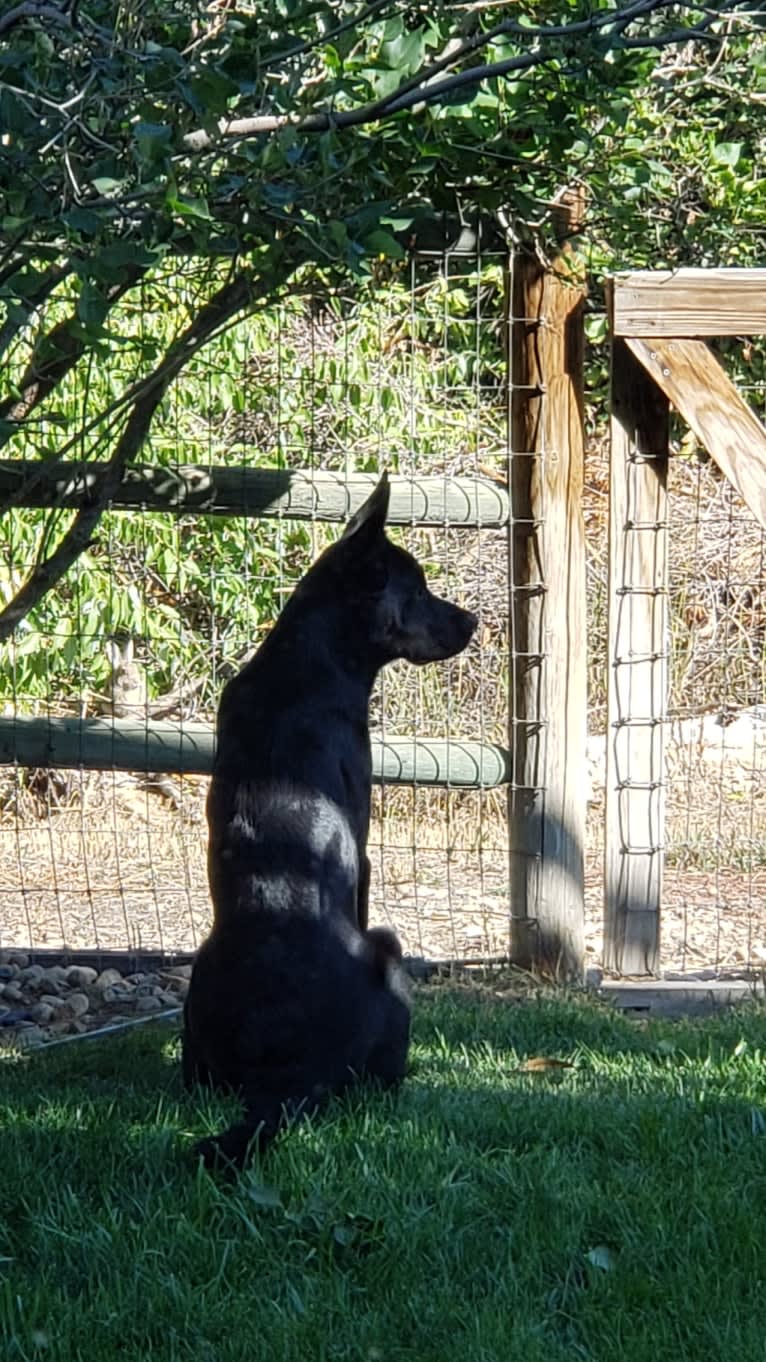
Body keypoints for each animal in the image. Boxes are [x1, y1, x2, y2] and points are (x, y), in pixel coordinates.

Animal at [181, 473, 474, 1165]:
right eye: (415, 589)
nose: (473, 621)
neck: (308, 659)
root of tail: (285, 1074)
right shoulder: (364, 848)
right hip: (389, 952)